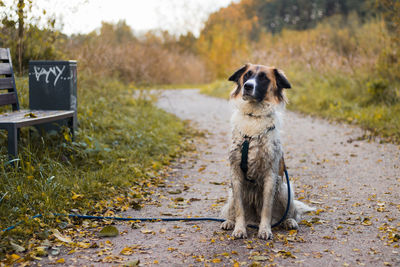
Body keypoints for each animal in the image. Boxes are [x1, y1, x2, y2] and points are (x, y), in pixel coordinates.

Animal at [220, 63, 314, 241]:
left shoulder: (270, 174)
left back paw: (288, 221)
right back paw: (229, 222)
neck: (253, 117)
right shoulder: (235, 174)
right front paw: (239, 229)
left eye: (263, 78)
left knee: (289, 213)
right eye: (247, 75)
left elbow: (267, 208)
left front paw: (265, 230)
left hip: (284, 190)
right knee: (232, 210)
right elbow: (239, 209)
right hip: (231, 194)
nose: (247, 86)